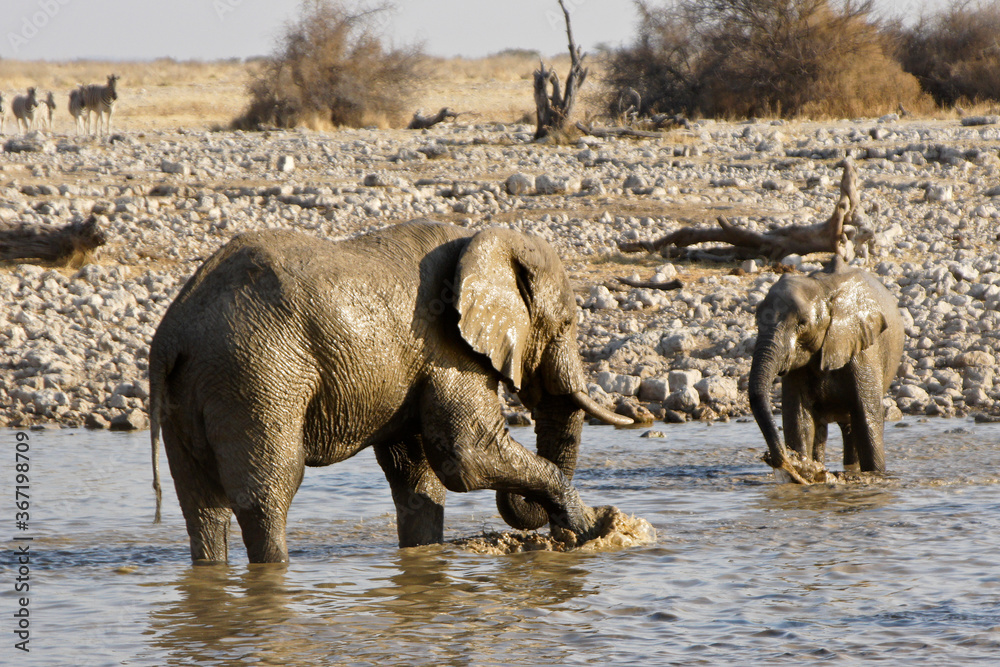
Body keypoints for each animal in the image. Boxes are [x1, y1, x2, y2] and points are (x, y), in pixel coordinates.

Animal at [149, 219, 631, 563]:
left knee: (202, 507)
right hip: (258, 376)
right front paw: (595, 528)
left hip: (193, 389)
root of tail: (171, 334)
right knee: (268, 492)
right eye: (566, 324)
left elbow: (417, 475)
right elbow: (466, 457)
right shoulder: (447, 347)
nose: (547, 528)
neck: (483, 239)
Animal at [748, 257, 905, 482]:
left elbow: (867, 418)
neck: (821, 288)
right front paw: (806, 469)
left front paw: (876, 475)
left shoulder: (863, 350)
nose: (773, 459)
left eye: (802, 324)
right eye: (756, 319)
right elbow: (798, 419)